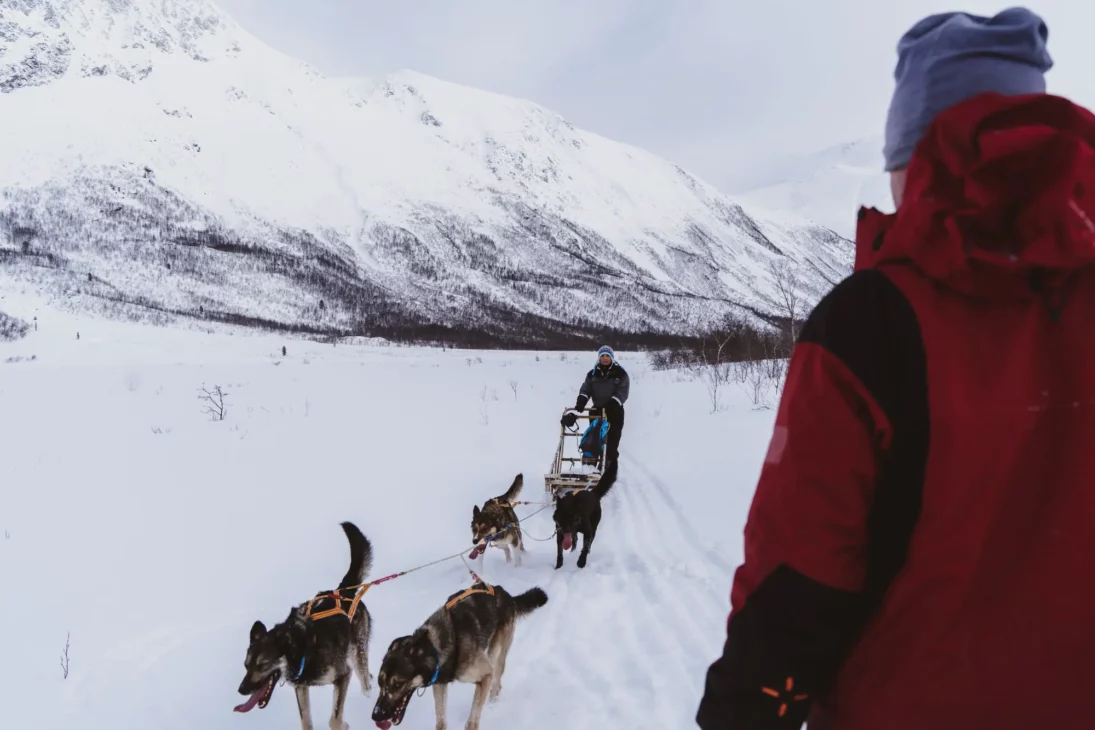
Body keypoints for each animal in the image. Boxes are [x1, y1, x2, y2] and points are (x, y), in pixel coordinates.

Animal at [233, 518, 374, 730]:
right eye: (246, 665)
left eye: (262, 665)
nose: (241, 690)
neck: (302, 650)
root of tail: (342, 590)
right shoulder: (301, 687)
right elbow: (306, 721)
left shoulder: (343, 675)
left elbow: (334, 719)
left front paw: (343, 725)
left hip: (358, 654)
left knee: (366, 682)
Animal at [372, 582, 551, 730]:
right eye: (380, 683)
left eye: (398, 684)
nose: (376, 715)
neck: (436, 647)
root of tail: (506, 594)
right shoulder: (440, 684)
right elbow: (441, 722)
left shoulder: (485, 675)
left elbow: (471, 723)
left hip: (495, 654)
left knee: (496, 685)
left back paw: (492, 706)